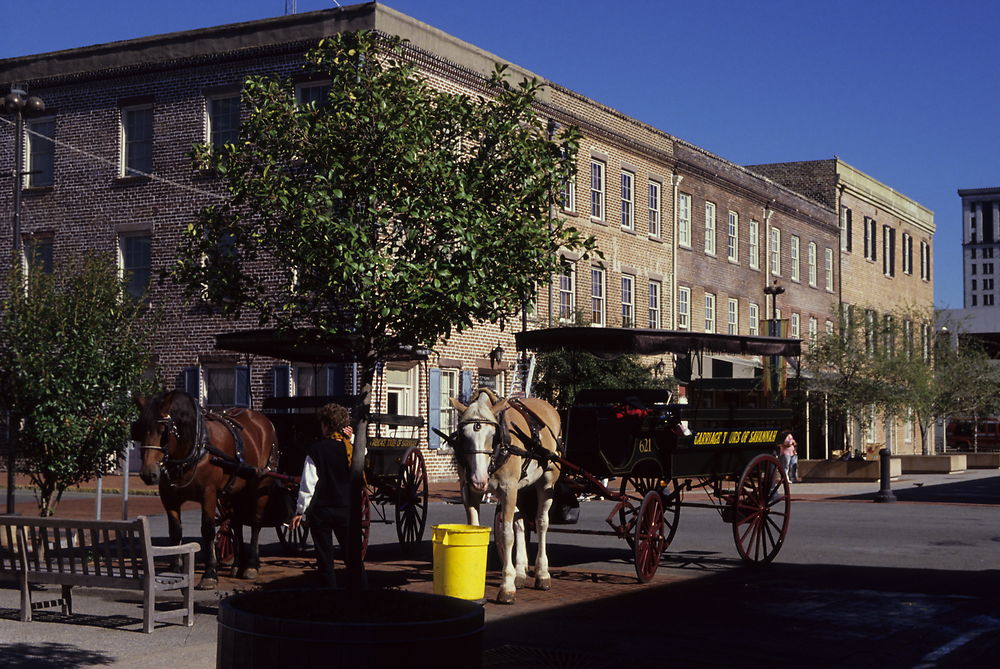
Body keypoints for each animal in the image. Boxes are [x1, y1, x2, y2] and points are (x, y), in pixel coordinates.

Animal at [132, 388, 278, 588]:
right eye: (139, 429)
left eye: (163, 431)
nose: (148, 474)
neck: (195, 448)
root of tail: (262, 419)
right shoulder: (169, 497)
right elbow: (175, 532)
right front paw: (174, 570)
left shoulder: (208, 493)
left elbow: (207, 530)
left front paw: (210, 573)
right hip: (233, 491)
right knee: (236, 522)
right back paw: (237, 565)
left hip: (261, 484)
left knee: (256, 522)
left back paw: (251, 566)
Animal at [452, 386, 564, 604]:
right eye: (463, 435)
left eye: (492, 434)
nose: (479, 479)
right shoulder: (469, 491)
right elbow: (476, 529)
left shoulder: (508, 489)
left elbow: (506, 534)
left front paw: (506, 586)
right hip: (520, 487)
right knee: (520, 524)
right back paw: (520, 573)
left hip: (547, 481)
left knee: (541, 522)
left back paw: (542, 574)